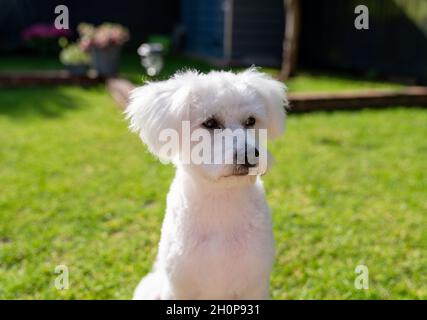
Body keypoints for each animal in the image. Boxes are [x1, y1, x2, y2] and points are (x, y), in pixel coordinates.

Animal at [126, 68, 288, 300]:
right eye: (210, 123)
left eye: (251, 120)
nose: (249, 155)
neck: (220, 200)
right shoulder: (178, 288)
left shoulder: (254, 286)